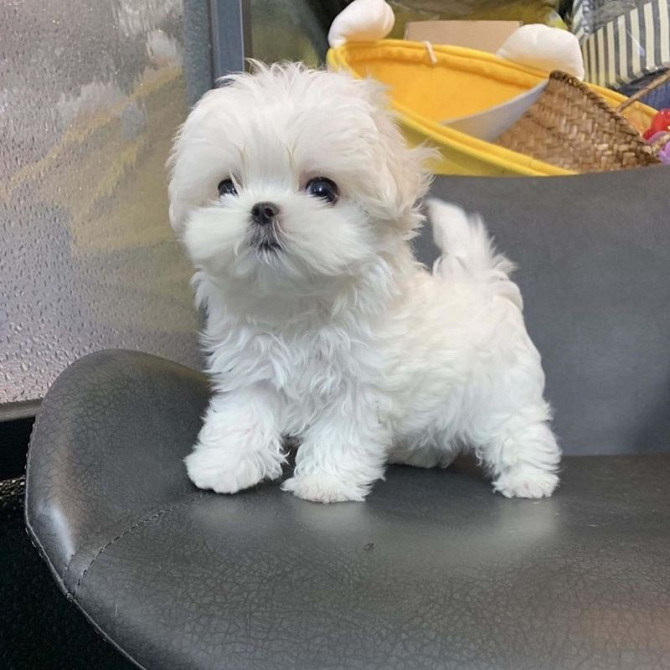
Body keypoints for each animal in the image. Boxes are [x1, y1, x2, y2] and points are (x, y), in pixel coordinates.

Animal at [169, 63, 560, 504]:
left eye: (323, 189)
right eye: (226, 187)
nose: (263, 209)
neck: (297, 306)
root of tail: (482, 285)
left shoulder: (360, 387)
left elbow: (340, 433)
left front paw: (325, 482)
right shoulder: (252, 373)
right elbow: (241, 418)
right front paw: (222, 466)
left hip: (506, 391)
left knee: (520, 430)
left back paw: (528, 478)